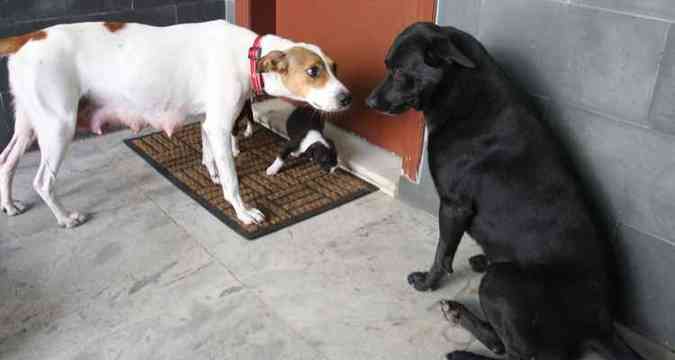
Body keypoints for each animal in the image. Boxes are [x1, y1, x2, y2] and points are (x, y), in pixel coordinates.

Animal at [0, 19, 352, 228]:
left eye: (334, 67)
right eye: (313, 71)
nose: (347, 98)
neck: (248, 54)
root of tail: (26, 37)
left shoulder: (209, 124)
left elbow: (209, 157)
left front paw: (211, 175)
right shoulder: (220, 127)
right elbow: (233, 181)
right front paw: (242, 210)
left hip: (28, 125)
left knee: (6, 162)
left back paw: (10, 204)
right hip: (59, 127)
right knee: (42, 182)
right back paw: (65, 218)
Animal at [368, 21, 640, 360]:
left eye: (399, 71)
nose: (369, 103)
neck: (463, 92)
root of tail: (599, 324)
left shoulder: (454, 205)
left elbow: (443, 253)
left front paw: (427, 282)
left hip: (500, 283)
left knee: (512, 351)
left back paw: (463, 347)